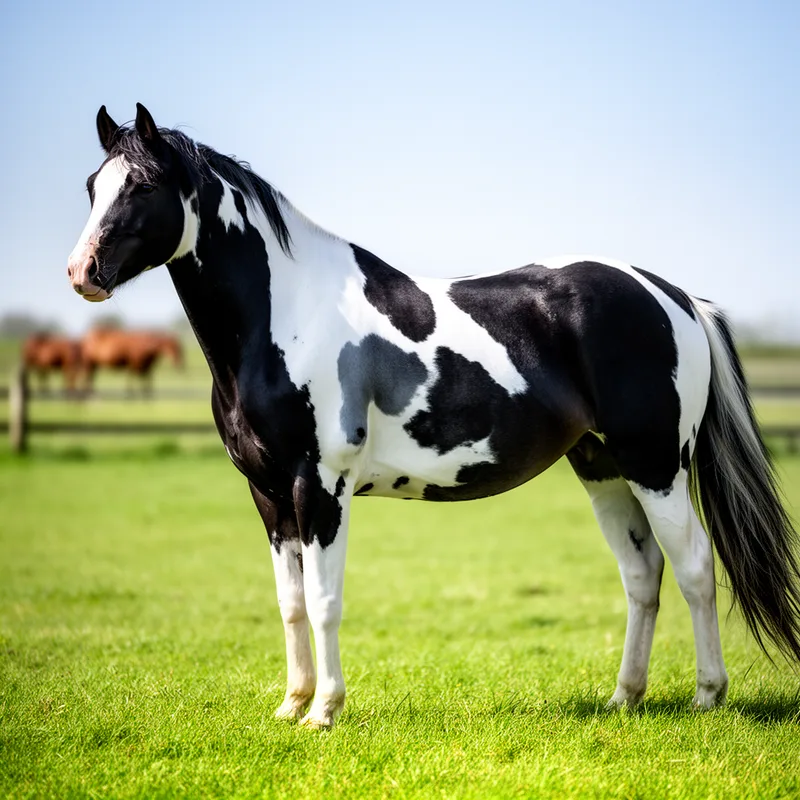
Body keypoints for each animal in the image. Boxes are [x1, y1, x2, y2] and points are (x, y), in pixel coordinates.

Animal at [67, 103, 800, 729]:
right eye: (93, 186)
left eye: (143, 186)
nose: (82, 272)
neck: (286, 317)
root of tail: (673, 295)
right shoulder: (269, 494)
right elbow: (292, 602)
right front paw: (291, 705)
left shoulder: (320, 488)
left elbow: (326, 601)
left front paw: (325, 711)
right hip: (602, 466)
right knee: (643, 574)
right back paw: (624, 697)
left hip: (656, 466)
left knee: (695, 567)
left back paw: (707, 696)